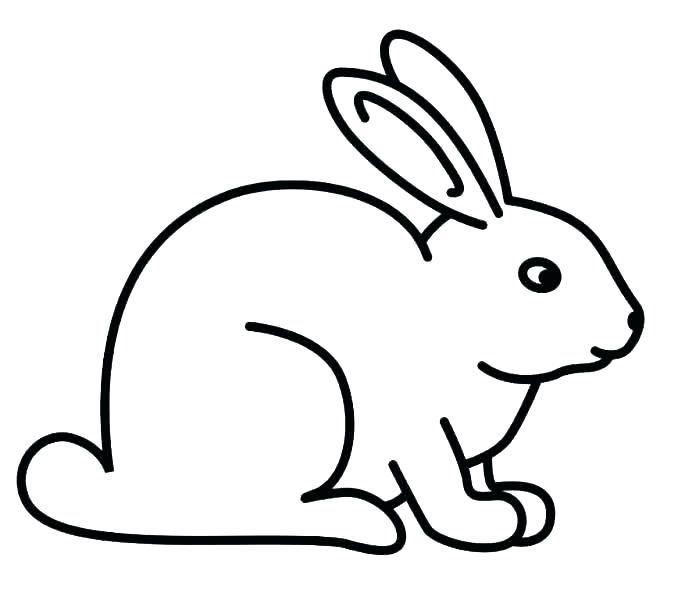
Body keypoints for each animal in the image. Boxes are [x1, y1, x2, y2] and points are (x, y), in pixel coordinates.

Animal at [18, 30, 643, 554]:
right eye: (541, 275)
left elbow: (478, 474)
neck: (449, 317)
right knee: (255, 512)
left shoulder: (471, 451)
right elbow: (439, 486)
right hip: (300, 387)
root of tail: (132, 482)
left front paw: (522, 505)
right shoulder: (417, 434)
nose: (631, 324)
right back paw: (363, 521)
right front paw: (485, 524)